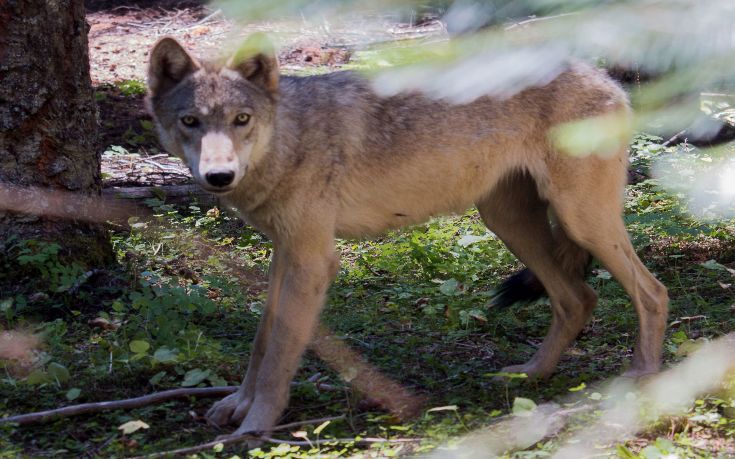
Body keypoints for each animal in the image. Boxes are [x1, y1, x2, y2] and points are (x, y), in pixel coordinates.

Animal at [145, 35, 672, 438]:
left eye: (242, 120)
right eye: (191, 122)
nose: (218, 176)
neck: (290, 139)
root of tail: (604, 76)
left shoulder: (313, 261)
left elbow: (278, 355)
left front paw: (254, 427)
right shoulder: (285, 254)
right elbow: (261, 342)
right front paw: (238, 405)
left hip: (580, 220)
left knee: (652, 291)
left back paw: (644, 382)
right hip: (508, 223)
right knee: (577, 298)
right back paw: (530, 375)